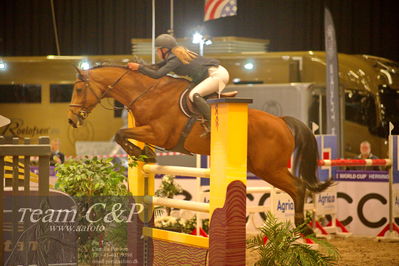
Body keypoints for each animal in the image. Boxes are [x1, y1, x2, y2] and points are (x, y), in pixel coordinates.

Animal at [67, 65, 332, 230]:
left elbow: (120, 133)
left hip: (269, 168)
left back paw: (303, 228)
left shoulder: (158, 133)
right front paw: (144, 154)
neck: (147, 93)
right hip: (266, 168)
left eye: (79, 89)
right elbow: (122, 135)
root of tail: (281, 121)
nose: (71, 120)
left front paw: (141, 153)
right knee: (297, 189)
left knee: (298, 188)